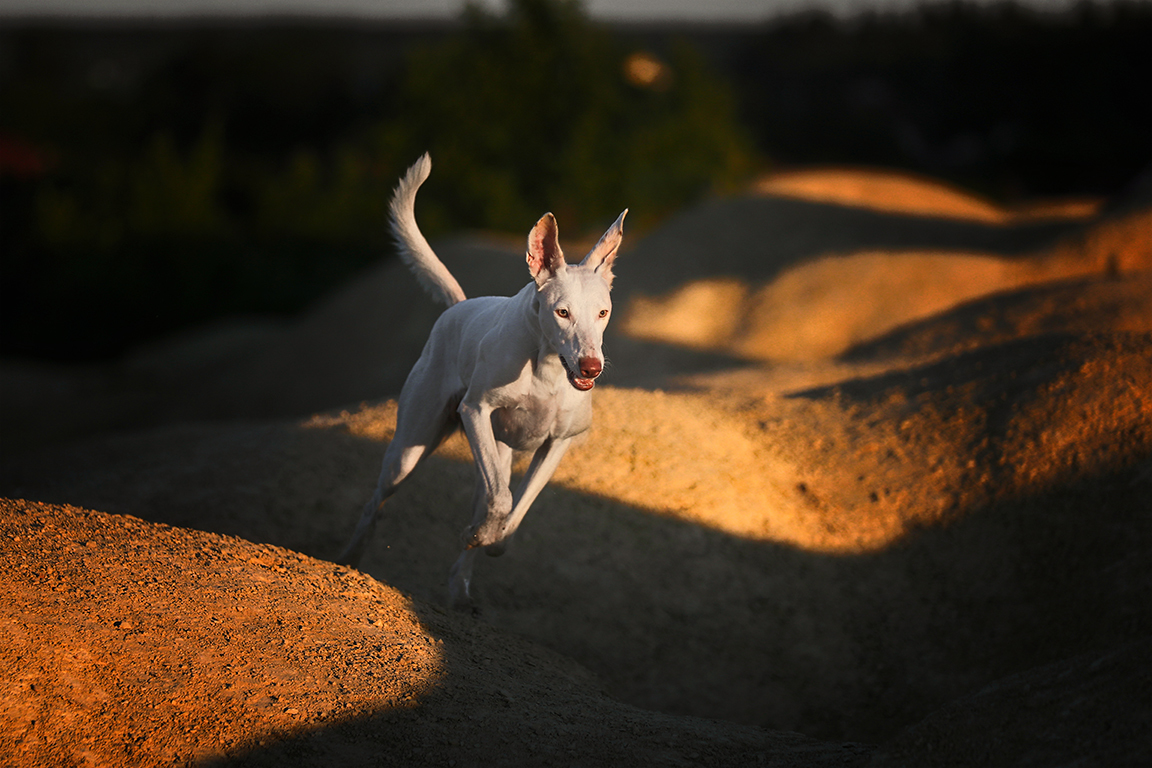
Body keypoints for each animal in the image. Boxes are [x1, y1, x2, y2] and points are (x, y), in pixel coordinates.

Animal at [338, 153, 631, 607]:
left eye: (603, 312)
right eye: (562, 312)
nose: (590, 368)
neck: (547, 370)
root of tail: (458, 306)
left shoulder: (558, 443)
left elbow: (516, 513)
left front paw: (488, 539)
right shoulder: (476, 411)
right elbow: (502, 500)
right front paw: (483, 533)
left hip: (496, 453)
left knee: (488, 498)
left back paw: (461, 585)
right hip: (410, 448)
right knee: (378, 501)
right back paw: (350, 558)